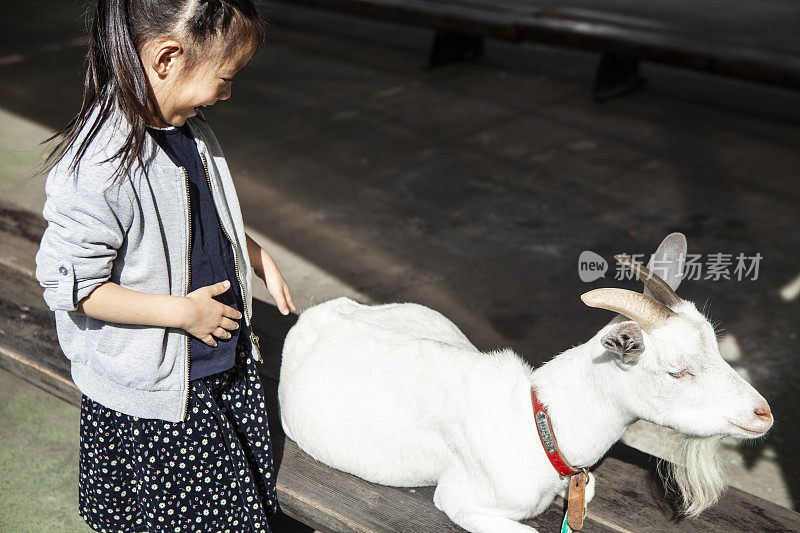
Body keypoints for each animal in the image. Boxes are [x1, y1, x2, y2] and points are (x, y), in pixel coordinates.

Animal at [278, 235, 772, 528]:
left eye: (716, 346)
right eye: (677, 369)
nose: (763, 414)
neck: (540, 422)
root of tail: (321, 310)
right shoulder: (463, 502)